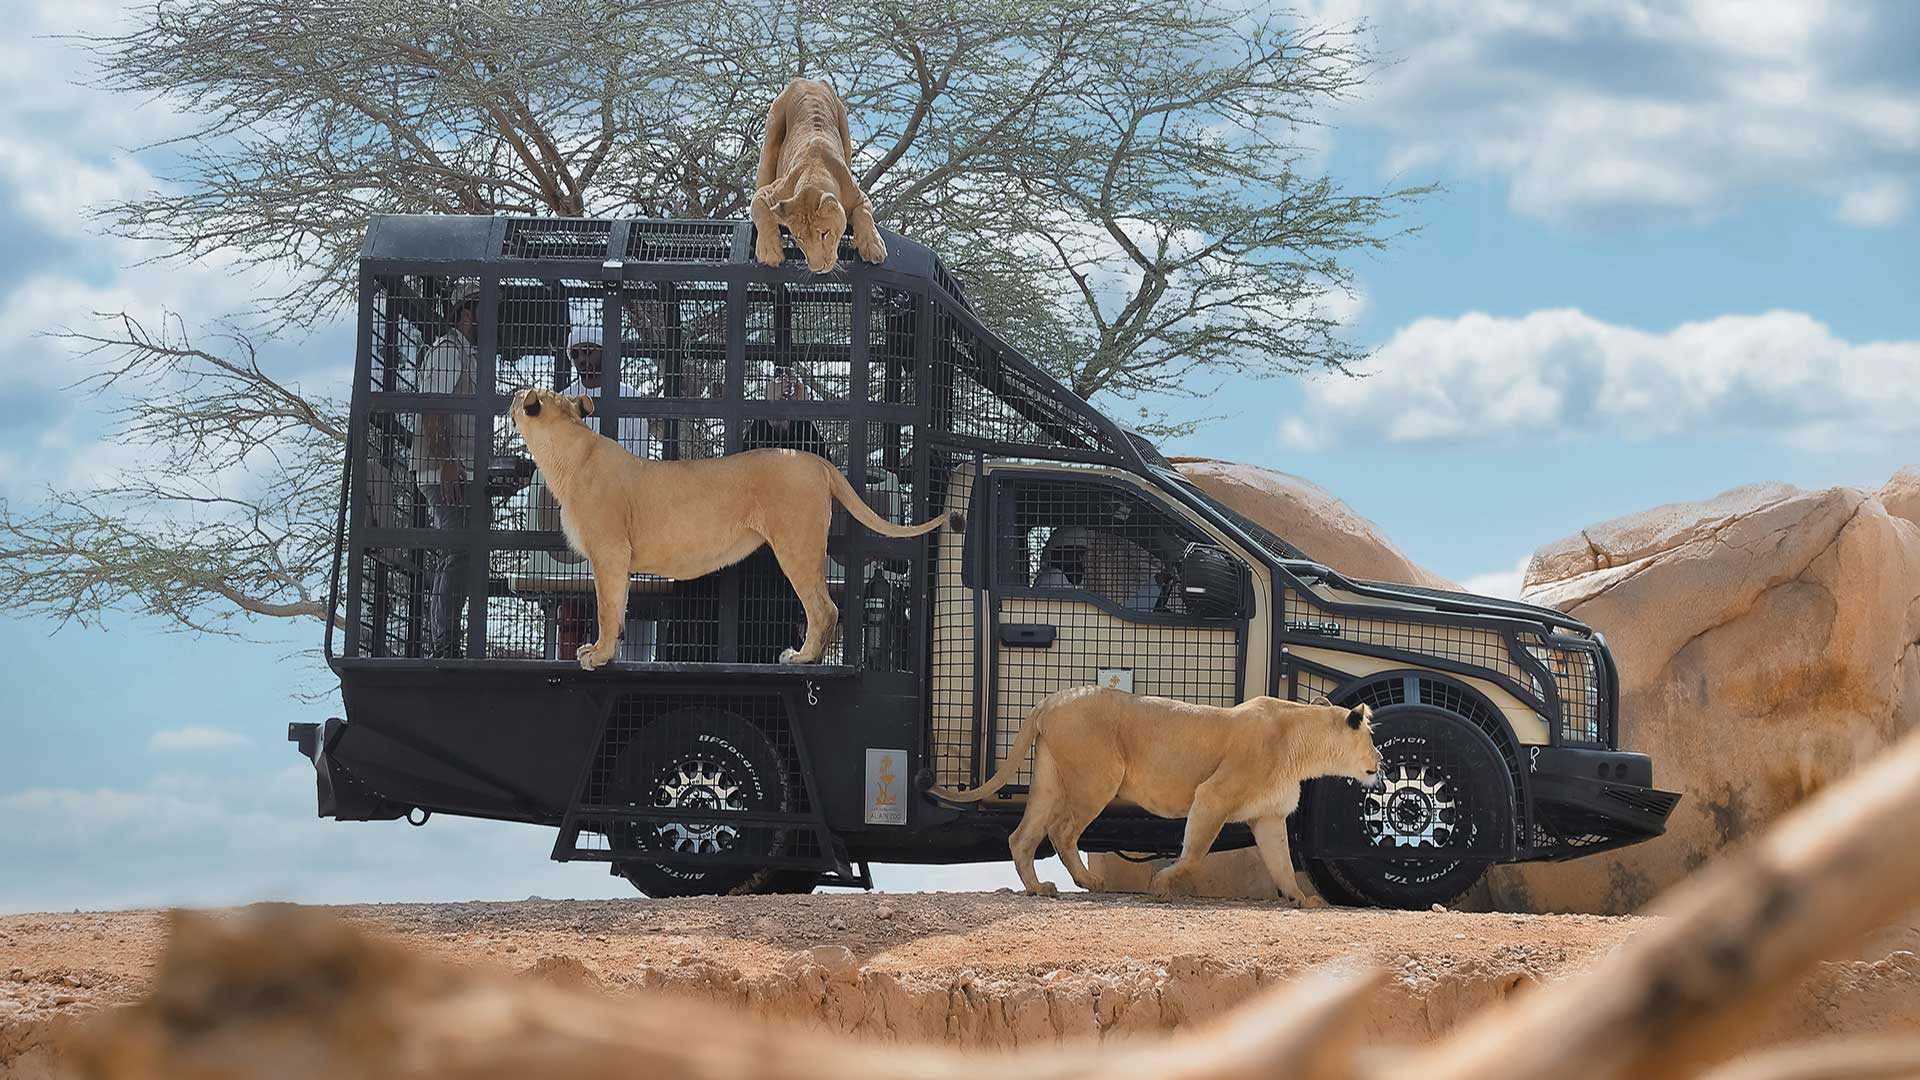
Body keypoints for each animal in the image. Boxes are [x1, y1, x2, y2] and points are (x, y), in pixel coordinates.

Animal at [509, 387, 956, 669]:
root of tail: (815, 460)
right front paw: (608, 654)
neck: (568, 453)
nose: (512, 397)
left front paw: (598, 657)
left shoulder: (610, 552)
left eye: (519, 396)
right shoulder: (618, 561)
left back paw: (802, 658)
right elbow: (618, 611)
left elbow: (606, 609)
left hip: (796, 544)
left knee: (823, 608)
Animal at [751, 78, 887, 273]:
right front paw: (769, 251)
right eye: (800, 238)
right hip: (770, 139)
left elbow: (865, 213)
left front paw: (873, 245)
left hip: (844, 130)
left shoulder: (860, 196)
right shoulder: (769, 194)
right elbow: (761, 212)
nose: (818, 269)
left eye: (825, 233)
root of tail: (808, 81)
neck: (814, 174)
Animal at [935, 687, 1381, 905]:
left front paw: (1301, 899)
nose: (1380, 759)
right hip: (1098, 778)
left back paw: (1037, 888)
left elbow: (1283, 864)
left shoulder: (1269, 816)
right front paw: (1162, 885)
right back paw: (1088, 881)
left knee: (1022, 836)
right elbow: (1194, 854)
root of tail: (1050, 699)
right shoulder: (1212, 795)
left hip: (1049, 780)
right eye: (1373, 739)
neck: (1304, 748)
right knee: (1062, 832)